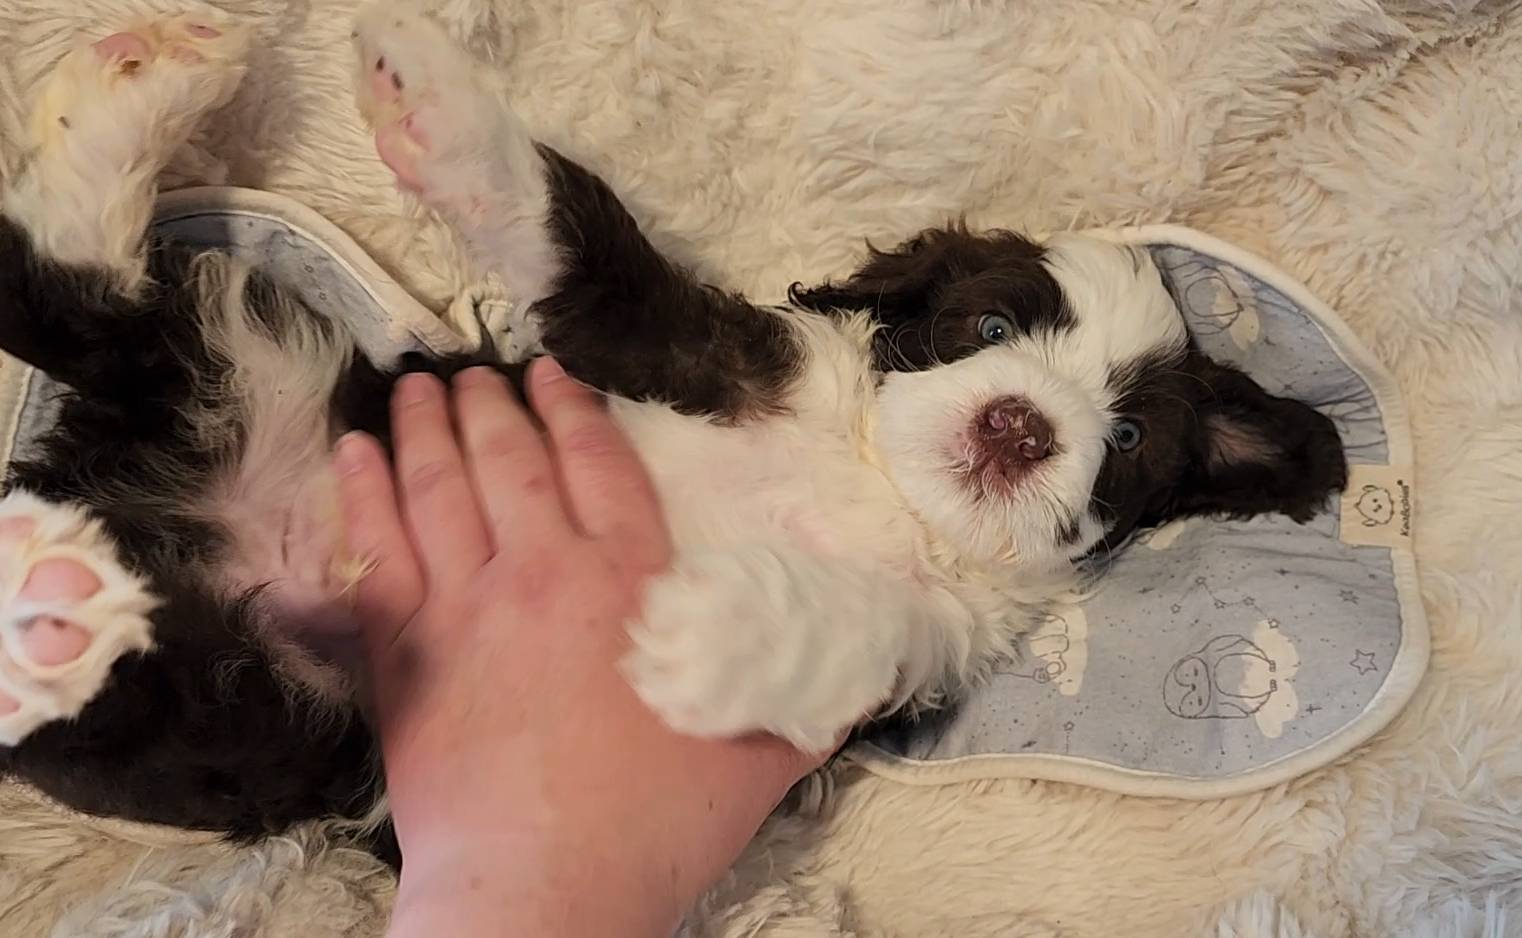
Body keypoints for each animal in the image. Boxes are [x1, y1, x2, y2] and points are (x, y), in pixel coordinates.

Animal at [0, 7, 1346, 853]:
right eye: (990, 322)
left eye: (1125, 441)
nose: (1017, 426)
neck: (870, 477)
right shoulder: (699, 357)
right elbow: (577, 239)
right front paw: (433, 99)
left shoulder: (921, 640)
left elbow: (853, 623)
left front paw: (715, 628)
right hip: (281, 414)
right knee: (85, 304)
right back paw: (138, 99)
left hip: (270, 705)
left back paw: (47, 593)